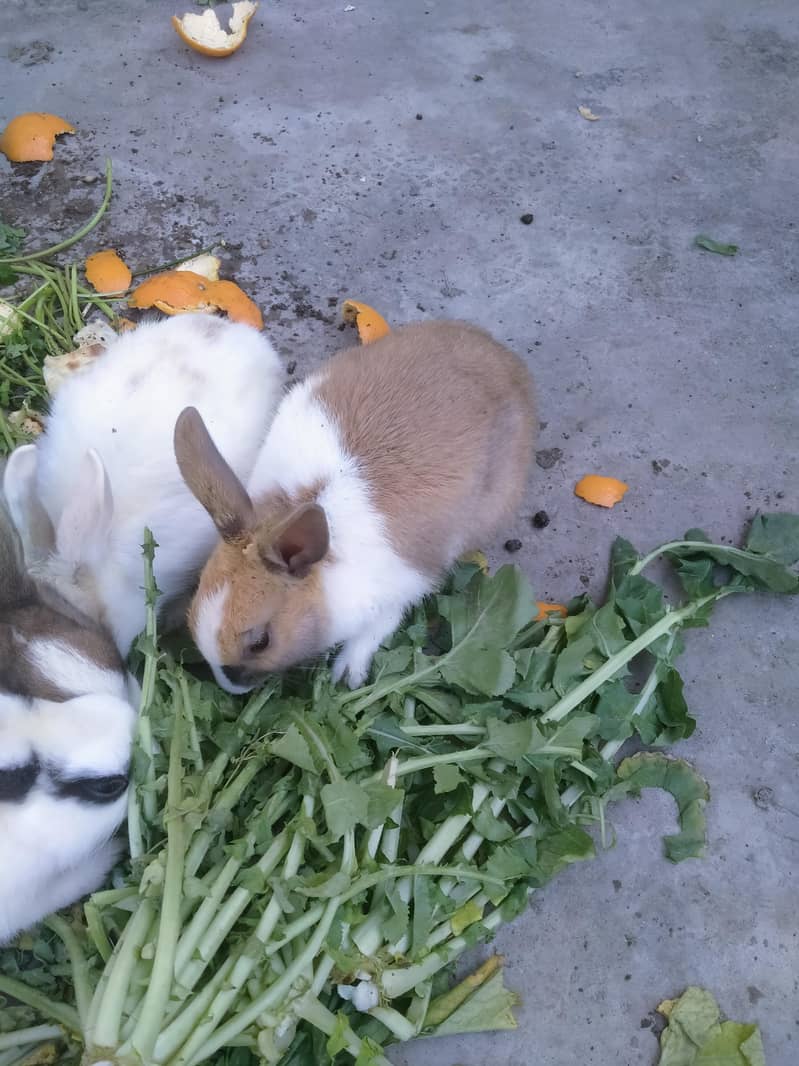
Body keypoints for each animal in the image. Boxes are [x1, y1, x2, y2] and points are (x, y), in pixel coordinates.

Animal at [173, 319, 536, 693]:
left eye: (261, 642)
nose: (232, 687)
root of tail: (504, 358)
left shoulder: (406, 585)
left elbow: (379, 626)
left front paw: (348, 674)